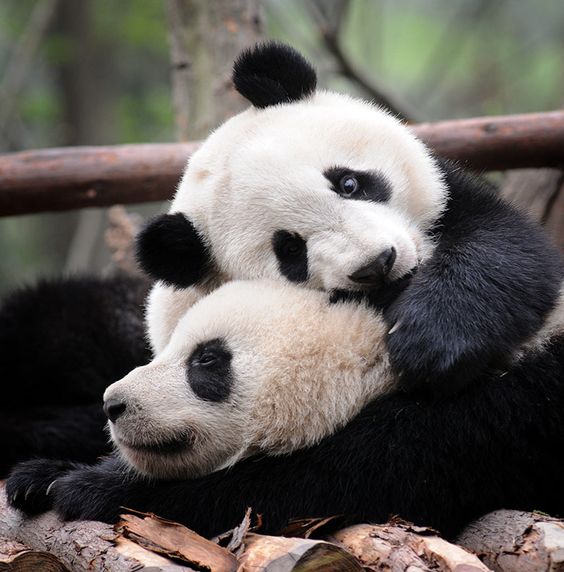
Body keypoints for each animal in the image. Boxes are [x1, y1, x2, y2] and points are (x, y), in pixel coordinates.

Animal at [7, 282, 564, 540]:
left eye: (207, 359)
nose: (114, 404)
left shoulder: (488, 419)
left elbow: (318, 489)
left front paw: (91, 489)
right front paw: (40, 477)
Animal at [137, 43, 564, 394]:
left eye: (348, 183)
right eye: (290, 250)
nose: (378, 264)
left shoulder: (455, 199)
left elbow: (506, 248)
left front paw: (431, 340)